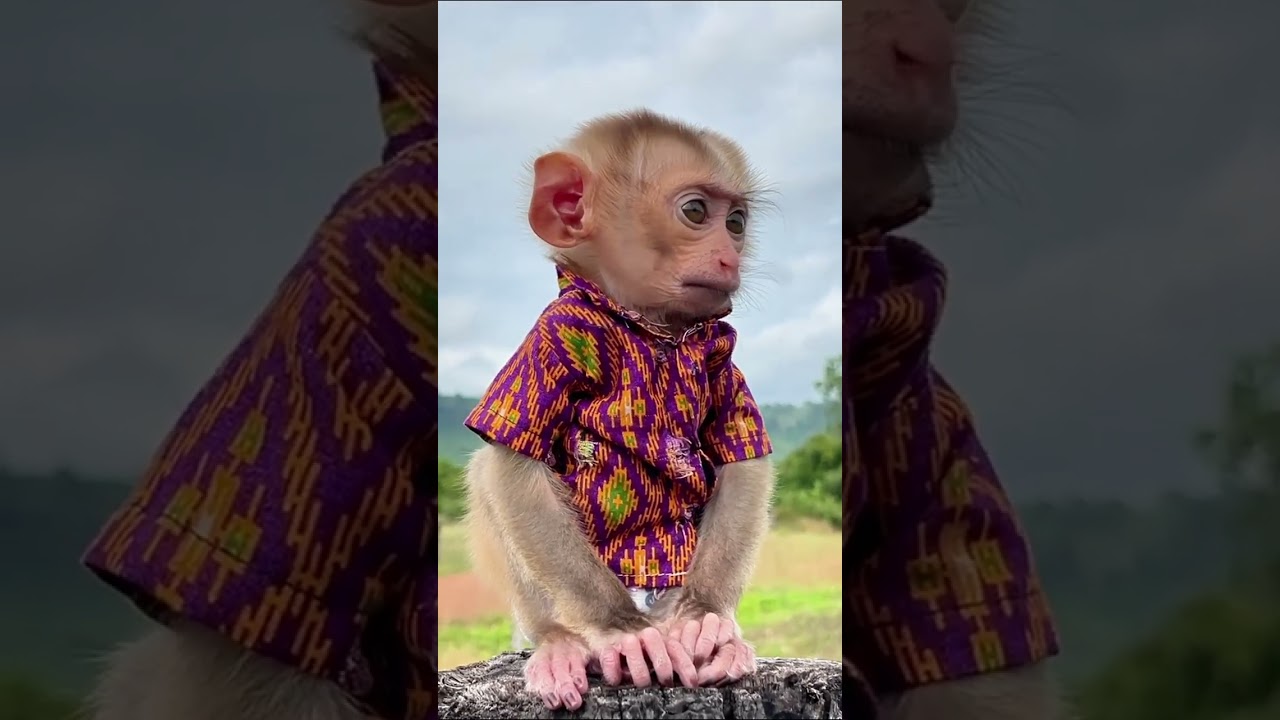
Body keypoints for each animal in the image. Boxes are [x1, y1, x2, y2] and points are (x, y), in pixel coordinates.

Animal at [460, 109, 778, 712]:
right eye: (696, 212)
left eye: (738, 222)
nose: (729, 256)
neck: (648, 327)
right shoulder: (555, 334)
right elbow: (513, 465)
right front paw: (620, 628)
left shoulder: (719, 347)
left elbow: (740, 453)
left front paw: (704, 616)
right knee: (487, 473)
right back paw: (560, 643)